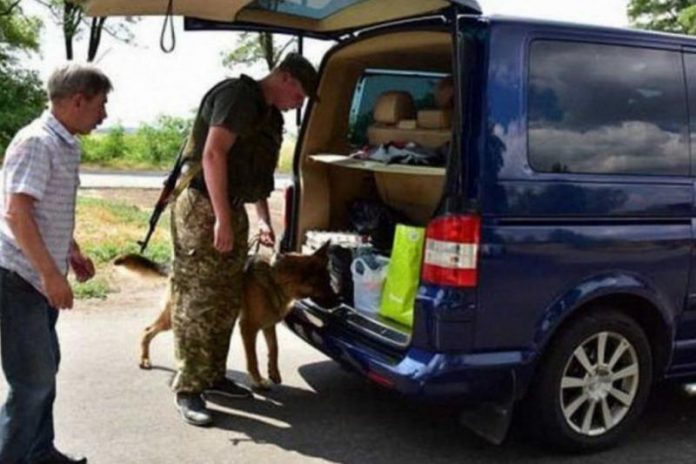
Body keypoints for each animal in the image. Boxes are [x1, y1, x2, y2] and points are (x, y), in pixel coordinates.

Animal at [115, 245, 338, 390]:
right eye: (326, 283)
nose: (340, 301)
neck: (277, 277)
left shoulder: (268, 324)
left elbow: (274, 349)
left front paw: (273, 372)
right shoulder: (248, 328)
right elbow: (253, 359)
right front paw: (259, 381)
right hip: (173, 317)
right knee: (147, 331)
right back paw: (145, 359)